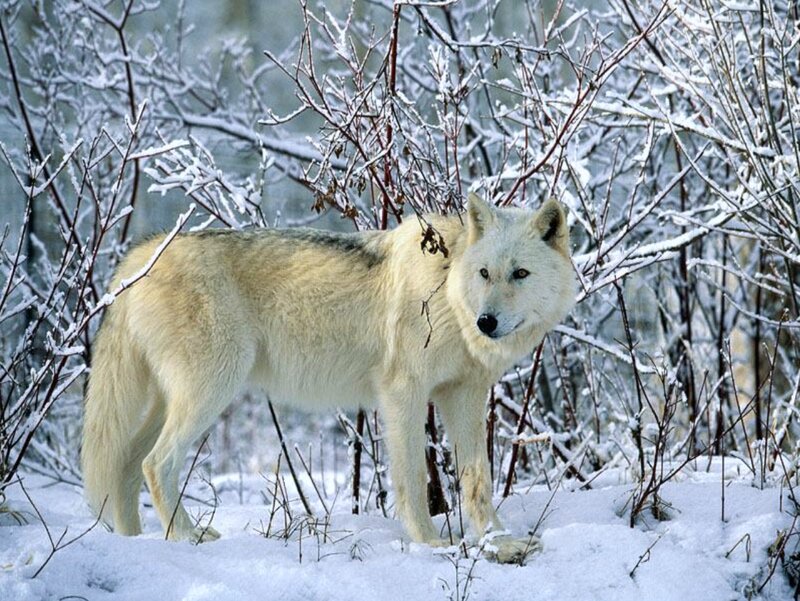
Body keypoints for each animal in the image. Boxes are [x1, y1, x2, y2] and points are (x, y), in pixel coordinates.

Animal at [81, 193, 576, 562]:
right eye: (485, 273)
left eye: (520, 274)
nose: (486, 322)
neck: (449, 292)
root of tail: (140, 254)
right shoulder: (403, 394)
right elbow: (414, 477)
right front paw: (432, 543)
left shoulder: (466, 396)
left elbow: (478, 480)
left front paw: (499, 541)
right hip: (212, 390)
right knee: (156, 463)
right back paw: (187, 537)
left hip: (172, 402)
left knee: (127, 464)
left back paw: (135, 542)